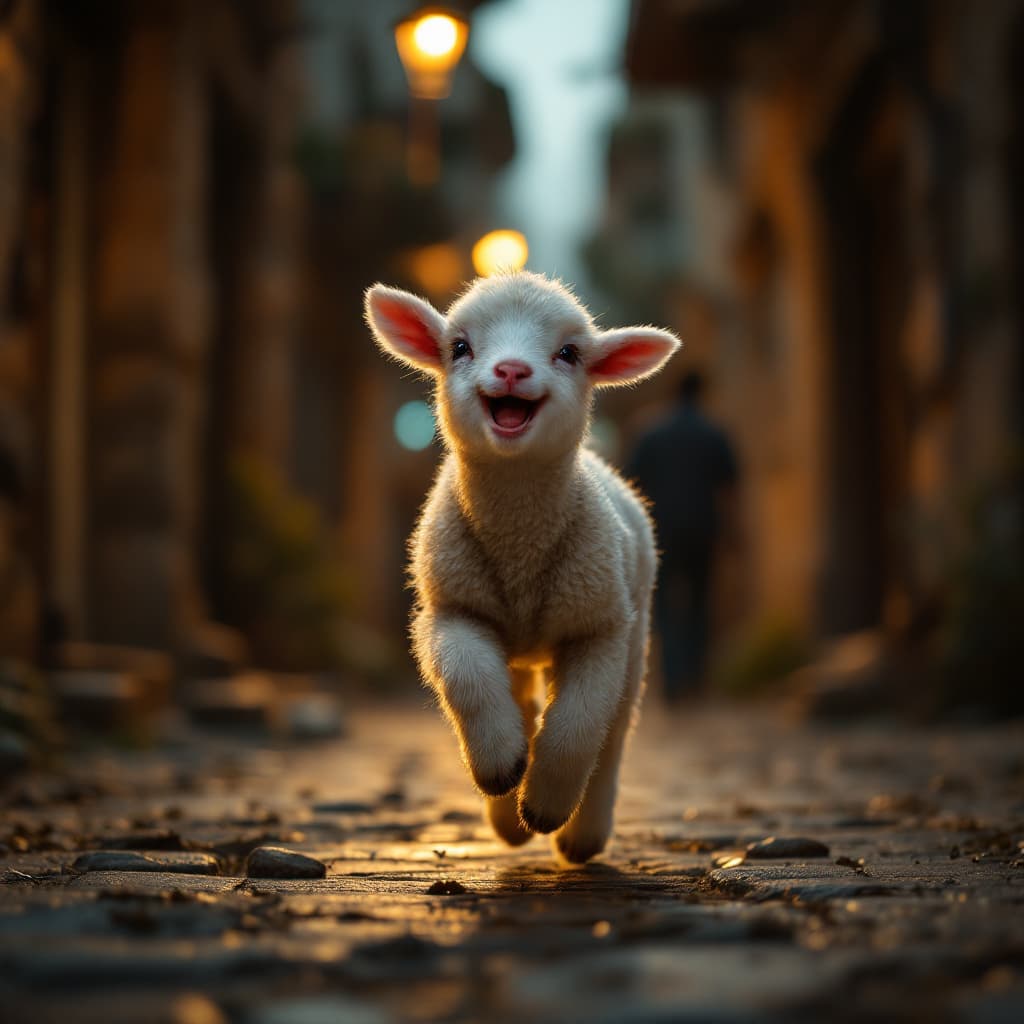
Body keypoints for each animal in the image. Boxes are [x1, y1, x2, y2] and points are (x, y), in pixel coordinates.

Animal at [364, 271, 681, 863]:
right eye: (459, 347)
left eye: (569, 353)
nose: (512, 369)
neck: (520, 546)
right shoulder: (451, 609)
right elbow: (467, 677)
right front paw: (499, 771)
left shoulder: (599, 626)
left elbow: (579, 723)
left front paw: (546, 807)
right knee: (518, 698)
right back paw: (507, 817)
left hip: (636, 630)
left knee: (615, 729)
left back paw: (581, 837)